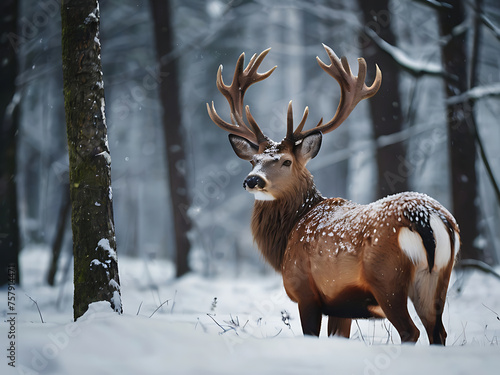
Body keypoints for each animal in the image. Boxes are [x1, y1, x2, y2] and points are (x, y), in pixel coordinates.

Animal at [207, 44, 460, 346]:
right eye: (253, 160)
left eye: (286, 161)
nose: (252, 180)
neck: (290, 233)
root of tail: (426, 217)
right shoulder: (341, 305)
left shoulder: (307, 291)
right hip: (439, 275)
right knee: (438, 332)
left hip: (387, 278)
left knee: (411, 331)